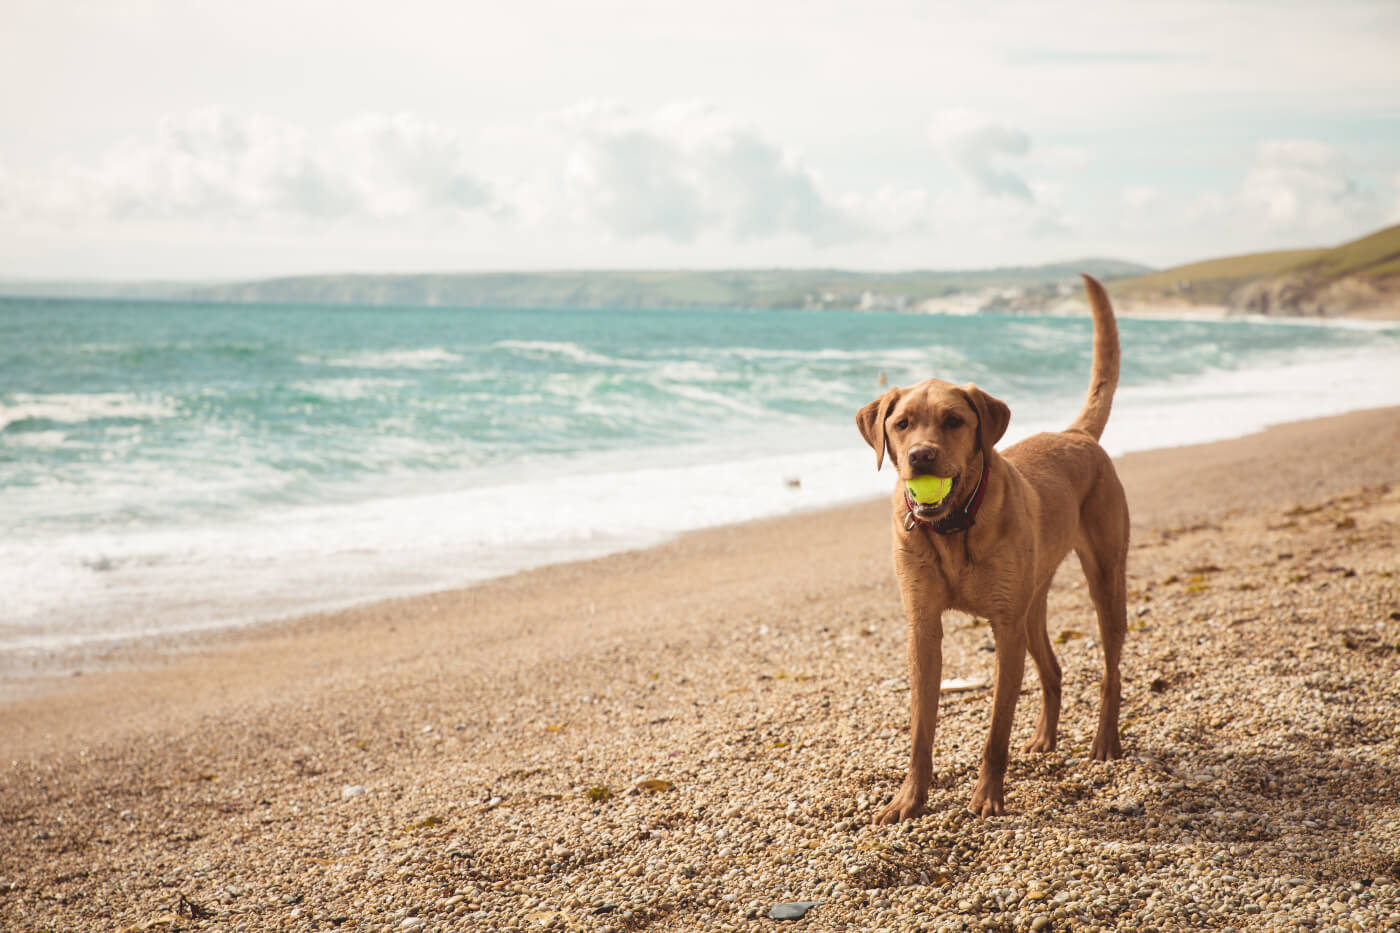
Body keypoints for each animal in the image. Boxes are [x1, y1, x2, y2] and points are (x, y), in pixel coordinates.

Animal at [851, 273, 1125, 818]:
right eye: (901, 423)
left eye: (954, 421)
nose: (921, 456)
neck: (954, 525)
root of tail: (1076, 434)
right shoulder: (923, 627)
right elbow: (921, 728)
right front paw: (910, 797)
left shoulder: (1005, 627)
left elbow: (996, 730)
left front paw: (987, 795)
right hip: (1033, 601)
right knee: (1053, 670)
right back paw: (1044, 739)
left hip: (1105, 579)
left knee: (1111, 667)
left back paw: (1106, 741)